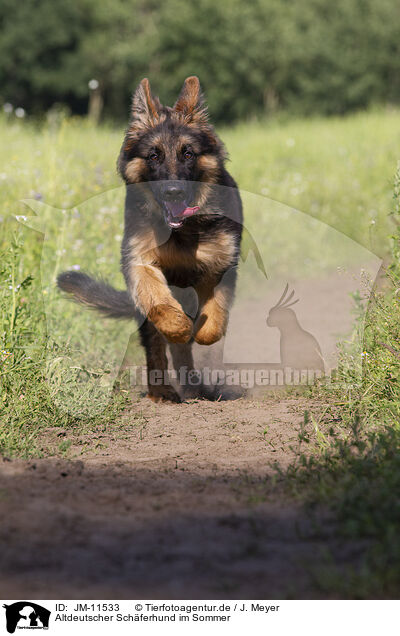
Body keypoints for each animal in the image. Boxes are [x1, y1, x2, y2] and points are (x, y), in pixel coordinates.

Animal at [57, 76, 242, 402]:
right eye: (154, 156)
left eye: (188, 153)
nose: (173, 193)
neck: (183, 232)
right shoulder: (141, 262)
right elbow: (160, 305)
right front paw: (178, 326)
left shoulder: (221, 264)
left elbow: (214, 320)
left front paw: (200, 330)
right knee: (157, 347)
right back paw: (163, 389)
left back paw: (194, 386)